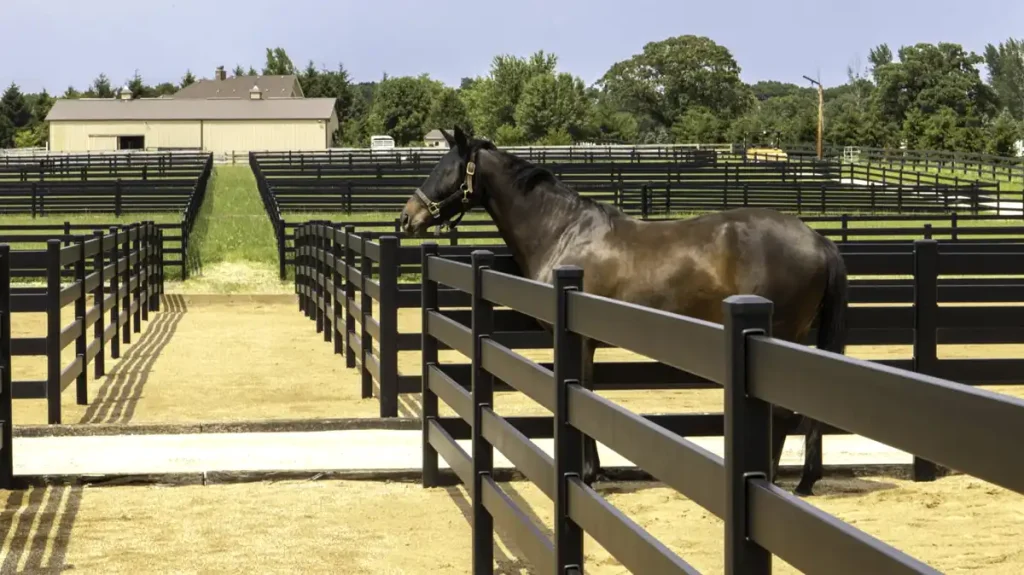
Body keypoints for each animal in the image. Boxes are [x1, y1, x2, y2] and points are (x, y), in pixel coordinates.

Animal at [400, 126, 847, 496]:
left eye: (446, 170)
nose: (406, 218)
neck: (563, 231)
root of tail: (819, 240)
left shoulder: (576, 340)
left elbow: (581, 396)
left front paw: (588, 474)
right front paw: (596, 471)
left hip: (781, 337)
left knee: (783, 414)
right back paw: (805, 479)